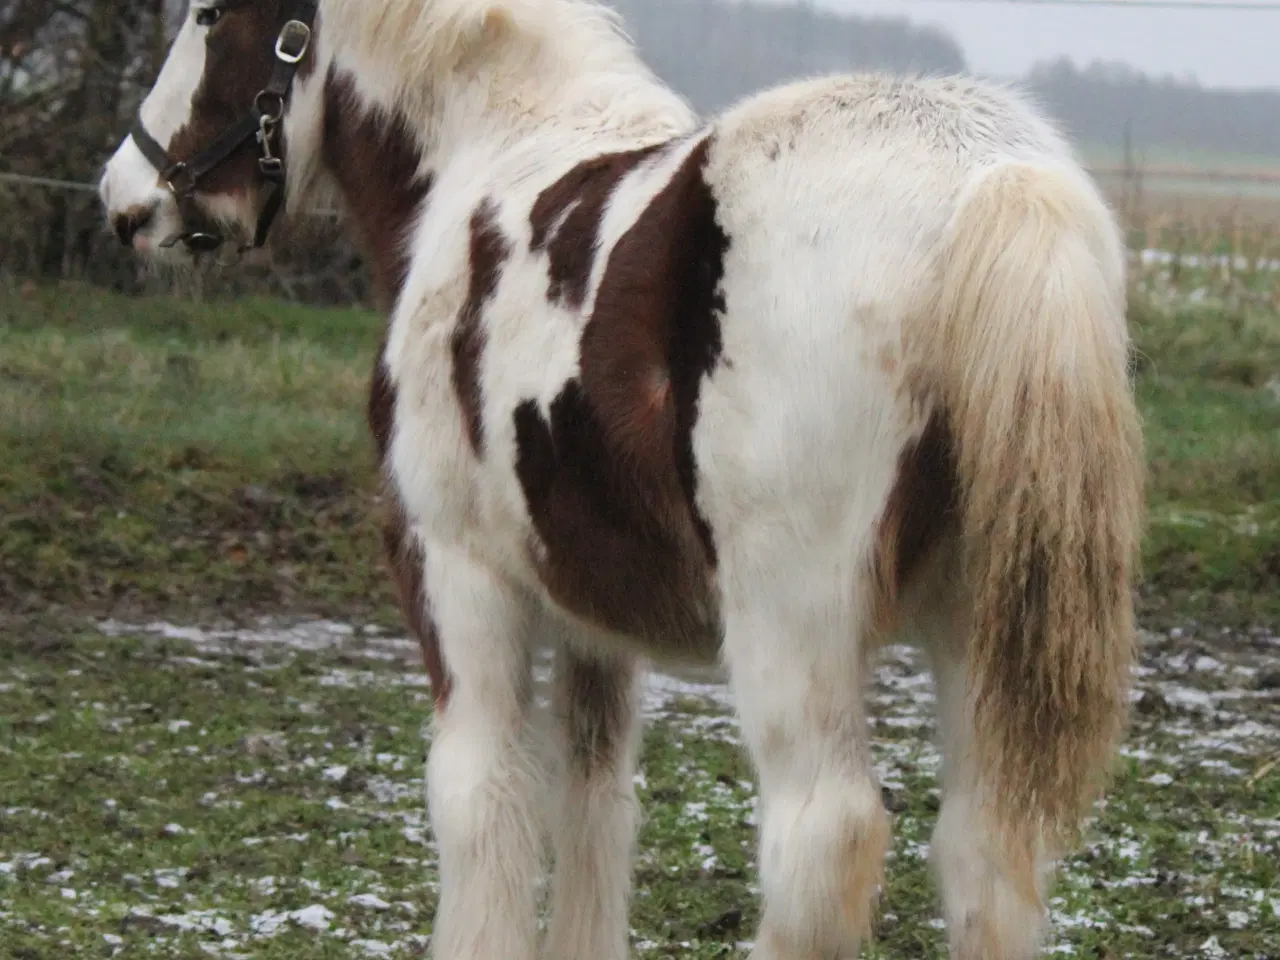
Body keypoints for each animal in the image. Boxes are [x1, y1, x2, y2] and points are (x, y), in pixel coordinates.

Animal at [97, 1, 1141, 960]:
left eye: (208, 15)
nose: (125, 194)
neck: (488, 158)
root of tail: (989, 180)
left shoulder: (455, 571)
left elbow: (479, 798)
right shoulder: (593, 622)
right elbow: (595, 804)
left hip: (792, 625)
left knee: (823, 841)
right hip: (973, 627)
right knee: (985, 856)